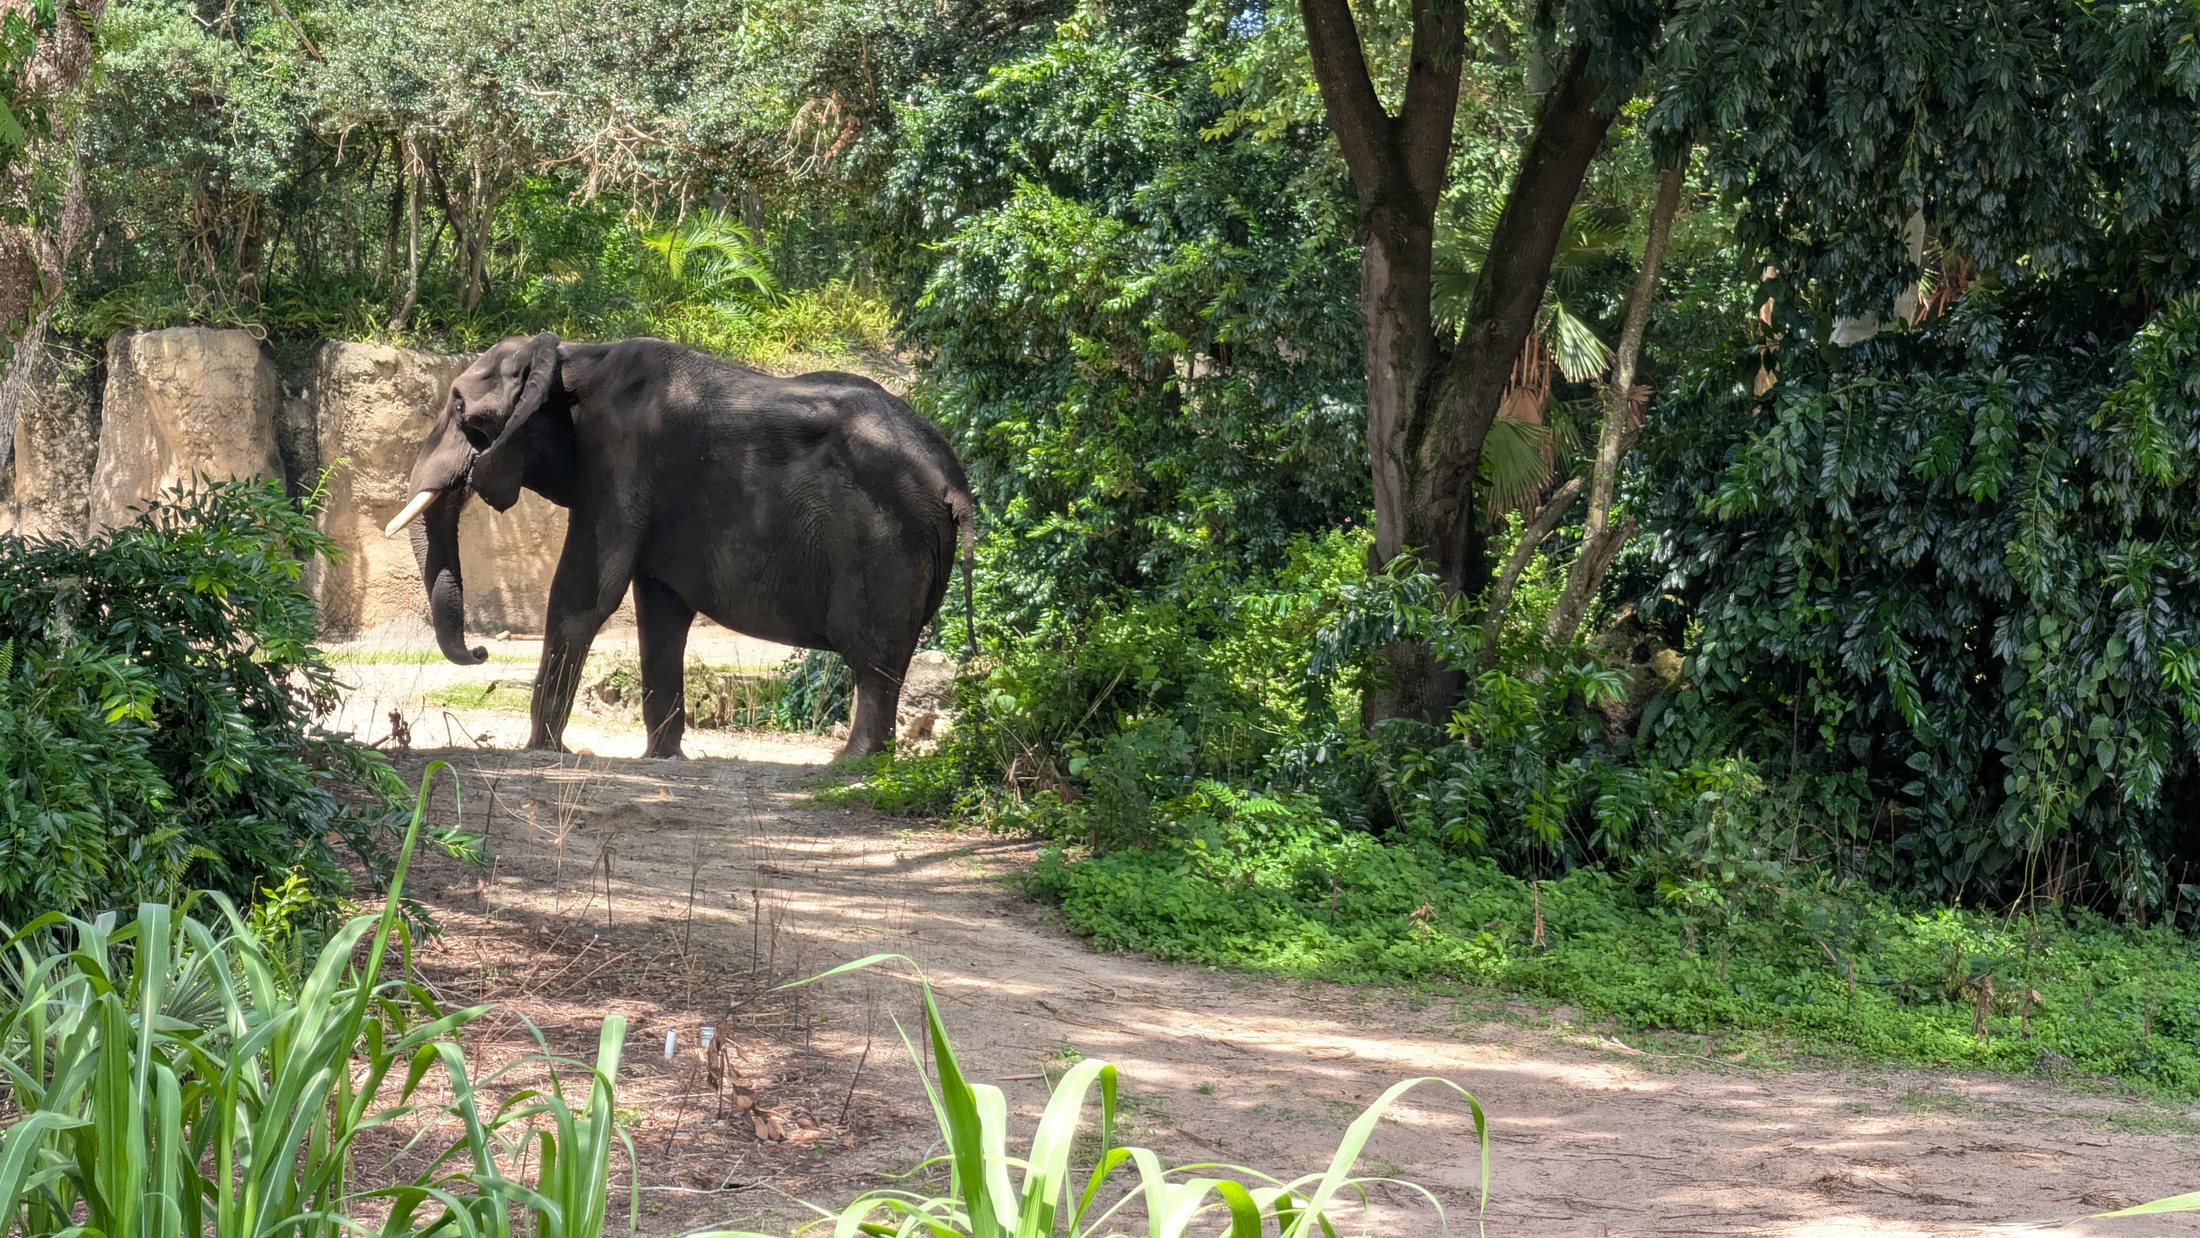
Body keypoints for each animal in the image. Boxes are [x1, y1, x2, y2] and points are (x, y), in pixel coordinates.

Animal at [383, 332, 975, 761]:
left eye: (462, 410)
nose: (482, 652)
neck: (570, 356)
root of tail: (955, 483)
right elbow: (659, 612)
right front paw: (662, 759)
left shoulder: (619, 462)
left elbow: (583, 594)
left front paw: (542, 752)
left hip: (885, 540)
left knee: (872, 656)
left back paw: (848, 764)